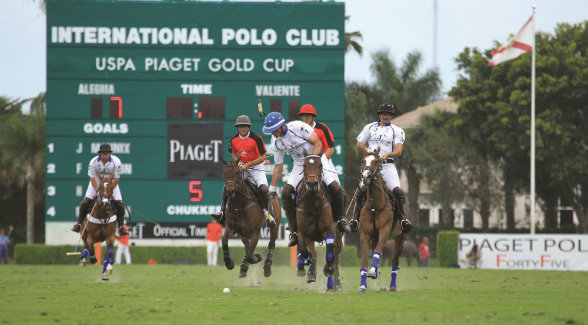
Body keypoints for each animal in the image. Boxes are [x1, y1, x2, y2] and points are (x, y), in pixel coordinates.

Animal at [294, 153, 344, 292]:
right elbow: (305, 251)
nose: (312, 183)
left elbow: (330, 255)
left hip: (339, 236)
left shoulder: (330, 230)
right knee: (312, 252)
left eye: (320, 165)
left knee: (336, 256)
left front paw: (328, 269)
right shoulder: (303, 232)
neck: (314, 203)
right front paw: (308, 269)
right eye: (304, 166)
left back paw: (335, 285)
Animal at [356, 148, 406, 292]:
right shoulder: (365, 234)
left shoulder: (385, 230)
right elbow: (364, 260)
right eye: (363, 161)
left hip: (400, 238)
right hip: (374, 237)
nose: (365, 177)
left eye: (376, 161)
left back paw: (393, 286)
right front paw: (362, 285)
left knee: (395, 261)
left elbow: (377, 252)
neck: (374, 205)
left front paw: (373, 271)